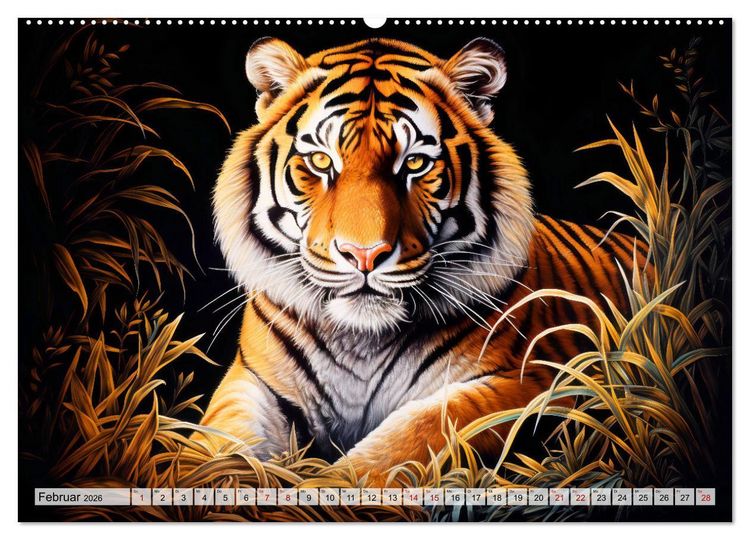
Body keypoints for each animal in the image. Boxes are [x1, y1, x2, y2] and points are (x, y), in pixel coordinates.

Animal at [196, 37, 649, 486]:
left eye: (414, 163)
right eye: (321, 161)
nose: (364, 254)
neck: (361, 340)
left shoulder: (533, 378)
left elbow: (413, 436)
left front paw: (326, 488)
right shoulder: (250, 380)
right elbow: (218, 446)